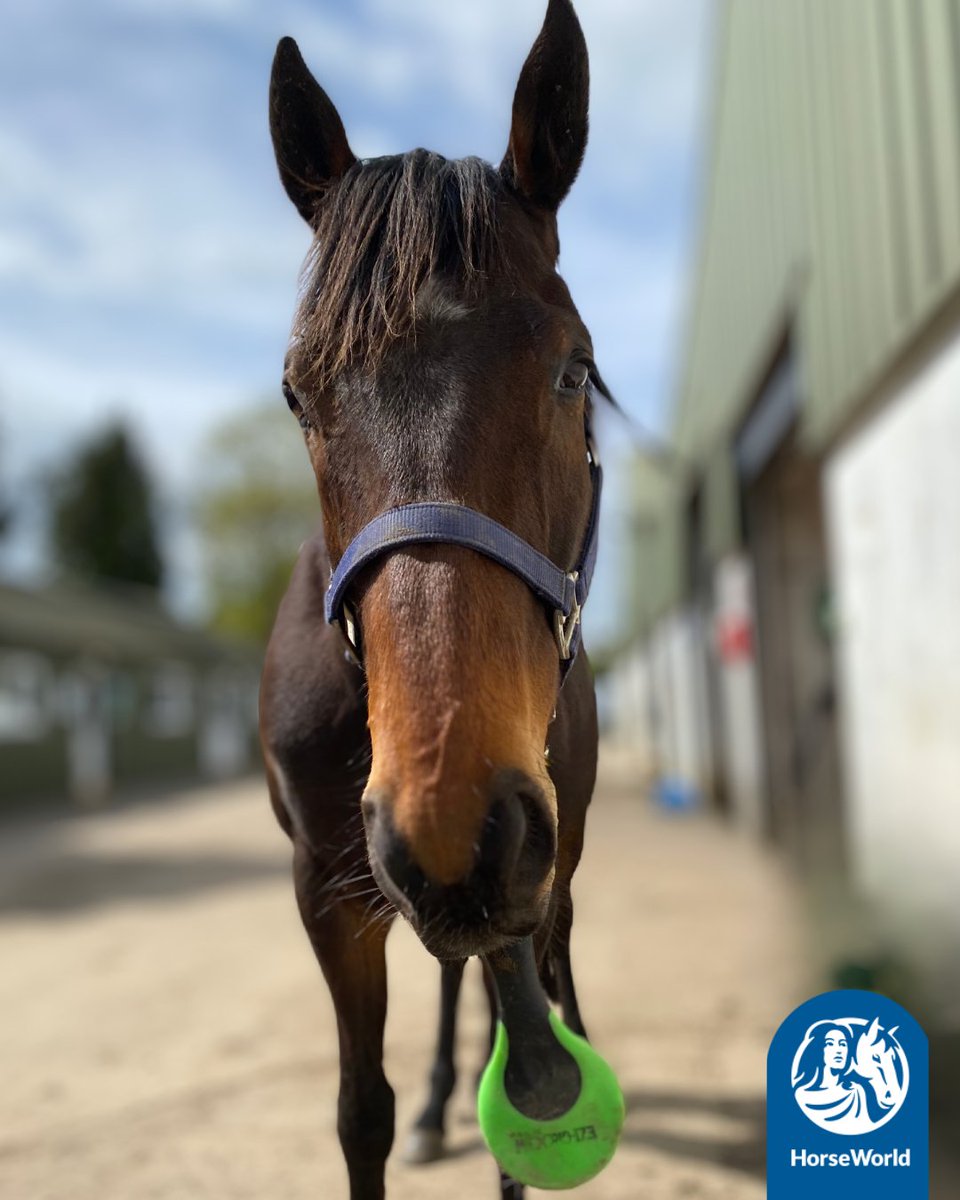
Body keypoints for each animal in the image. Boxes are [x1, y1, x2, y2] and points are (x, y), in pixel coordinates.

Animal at [259, 4, 604, 1195]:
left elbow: (533, 1098)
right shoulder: (327, 891)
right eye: (297, 393)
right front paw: (406, 1112)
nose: (455, 816)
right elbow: (358, 1111)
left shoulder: (537, 872)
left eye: (573, 370)